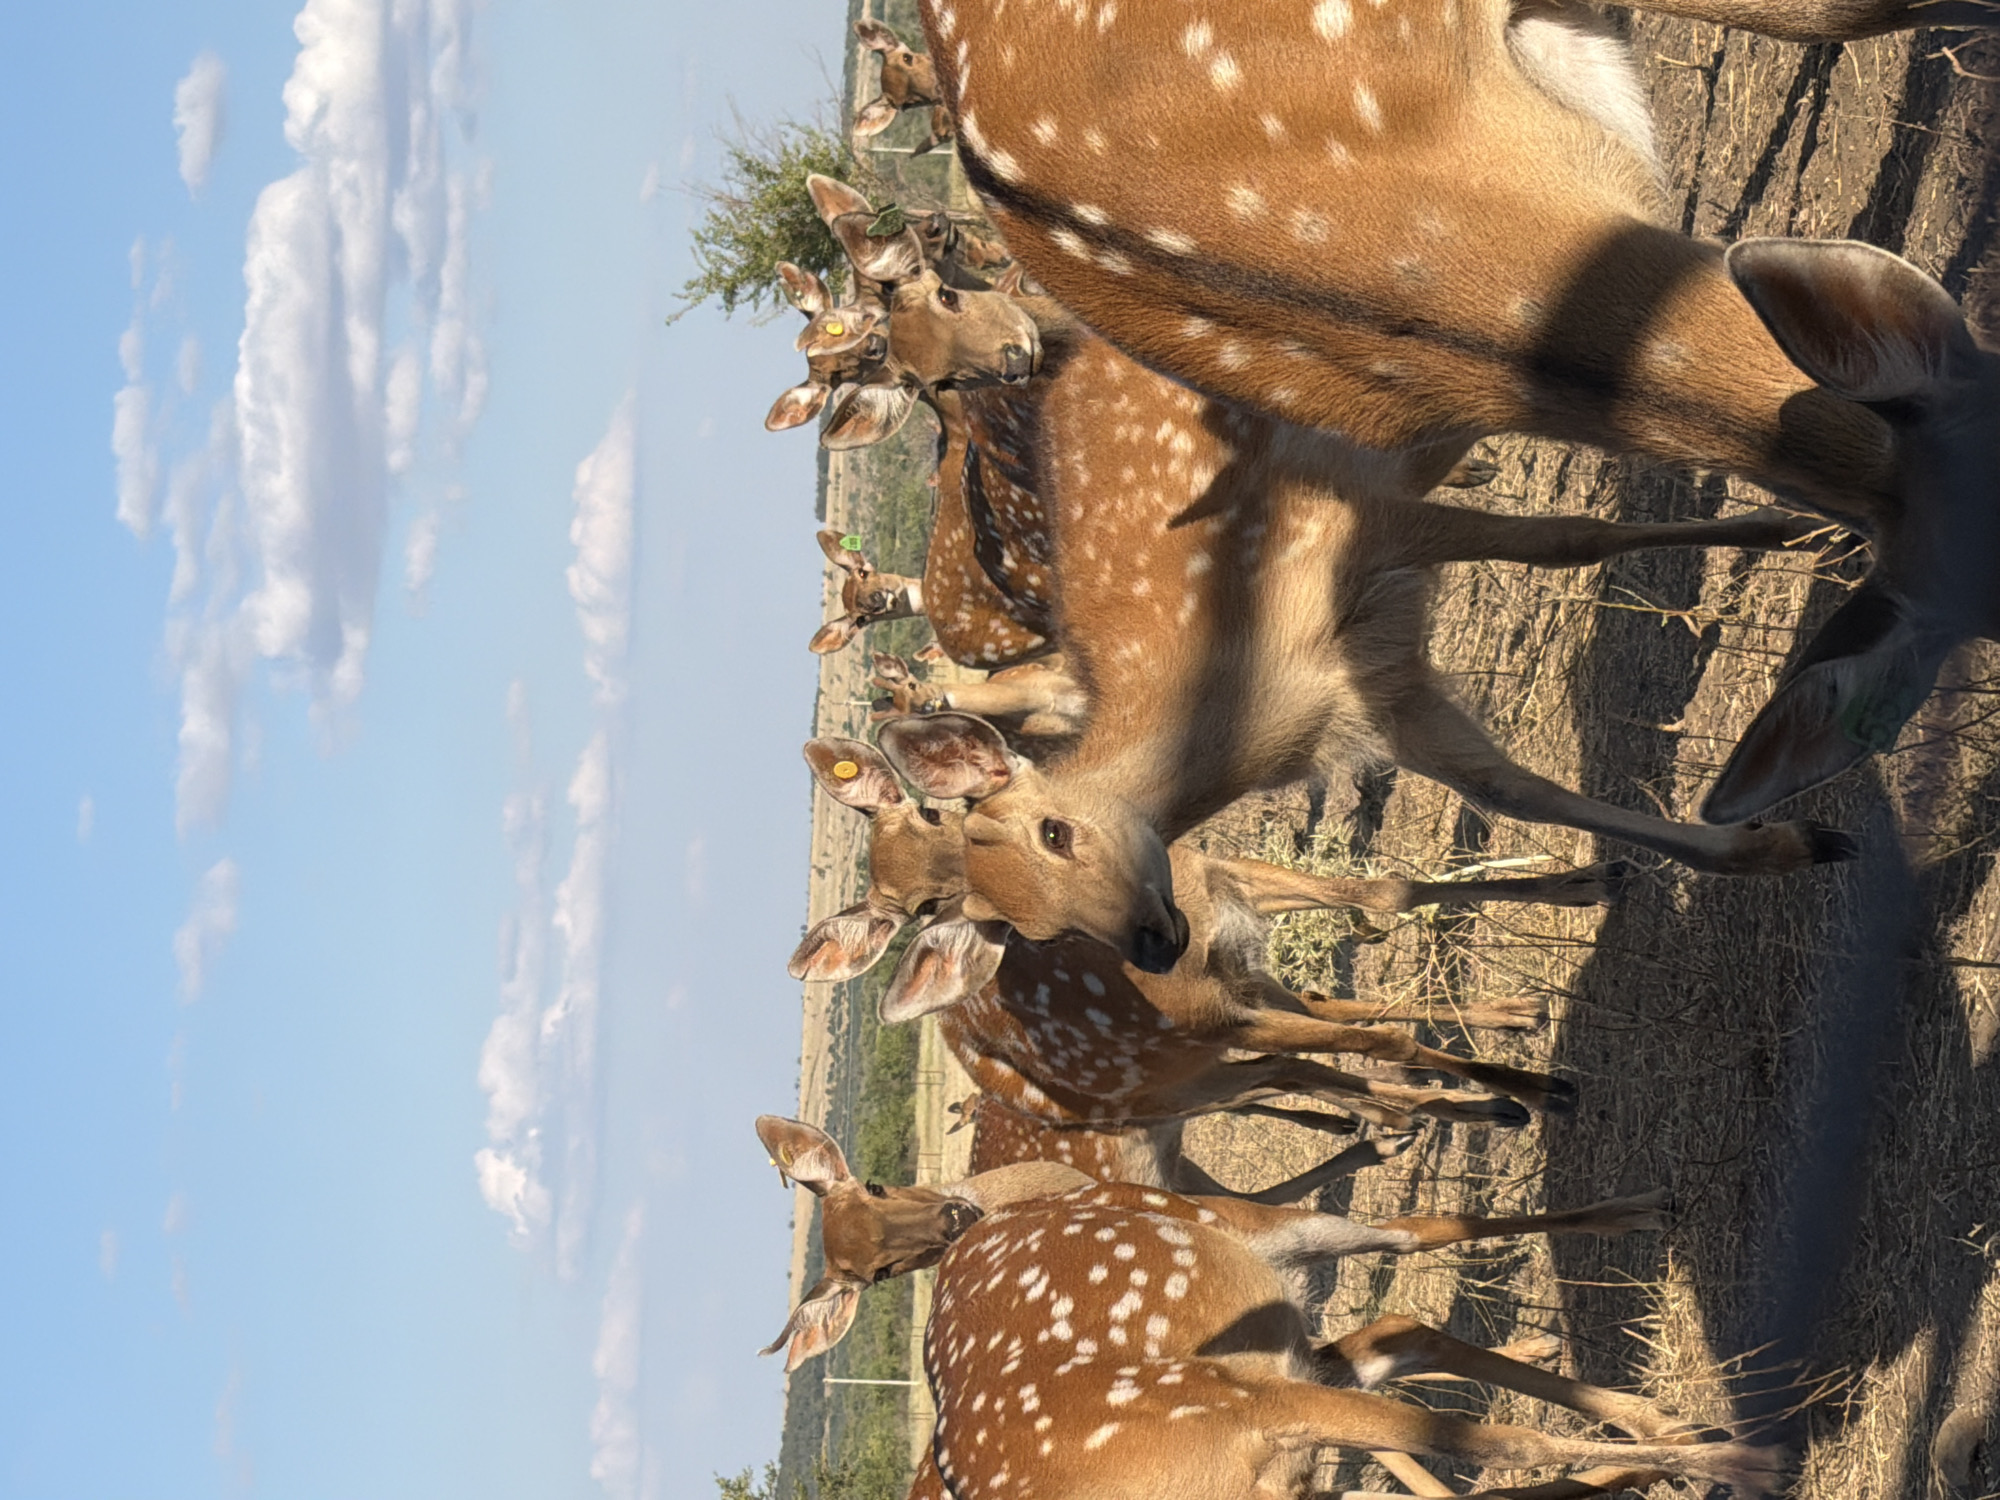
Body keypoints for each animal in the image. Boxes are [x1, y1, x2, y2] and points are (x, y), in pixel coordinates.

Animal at [754, 1114, 1672, 1377]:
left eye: (875, 1183)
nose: (950, 1220)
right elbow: (1424, 1238)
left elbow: (1428, 1231)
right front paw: (1634, 1212)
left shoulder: (1290, 1247)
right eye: (875, 1273)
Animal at [792, 734, 1626, 1136]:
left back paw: (1495, 1049)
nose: (1158, 941)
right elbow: (1378, 1039)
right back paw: (1459, 1109)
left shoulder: (1230, 894)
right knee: (1309, 1073)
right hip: (1189, 1085)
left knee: (1321, 1044)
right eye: (927, 909)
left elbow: (1381, 892)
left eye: (932, 809)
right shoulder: (1224, 1017)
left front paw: (1586, 880)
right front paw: (1545, 1088)